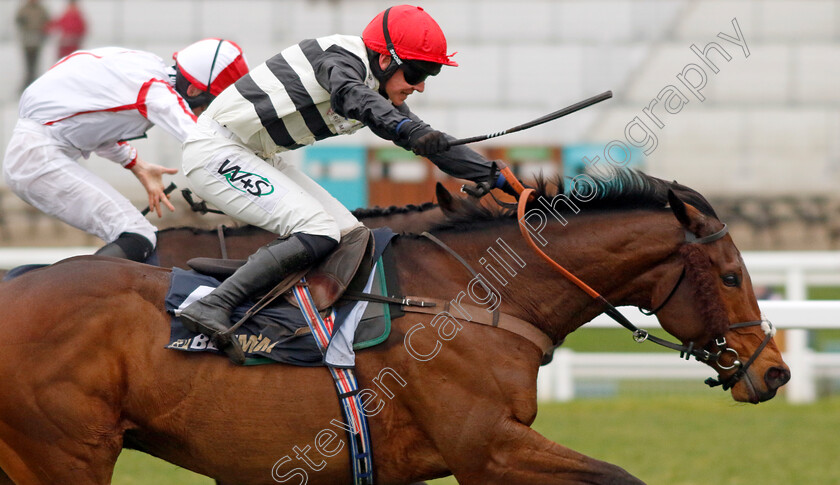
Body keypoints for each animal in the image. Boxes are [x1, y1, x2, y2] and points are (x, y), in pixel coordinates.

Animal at [0, 172, 788, 482]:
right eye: (729, 276)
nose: (773, 368)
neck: (476, 297)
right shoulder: (485, 447)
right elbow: (619, 476)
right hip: (64, 454)